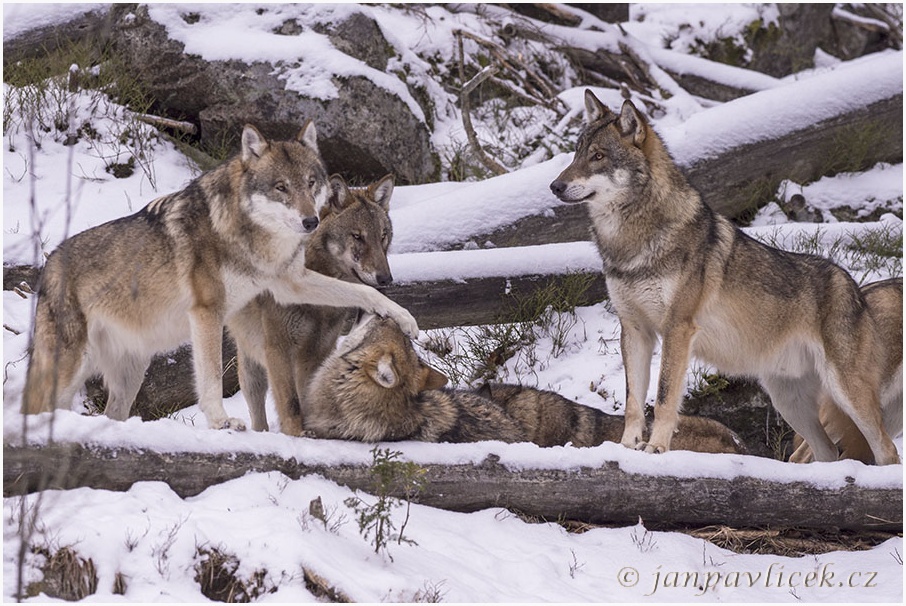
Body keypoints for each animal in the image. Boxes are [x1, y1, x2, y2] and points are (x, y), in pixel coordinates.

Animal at [225, 175, 392, 436]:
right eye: (357, 236)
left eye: (383, 235)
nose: (386, 279)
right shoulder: (278, 349)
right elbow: (291, 403)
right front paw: (296, 435)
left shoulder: (317, 351)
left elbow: (306, 397)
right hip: (251, 364)